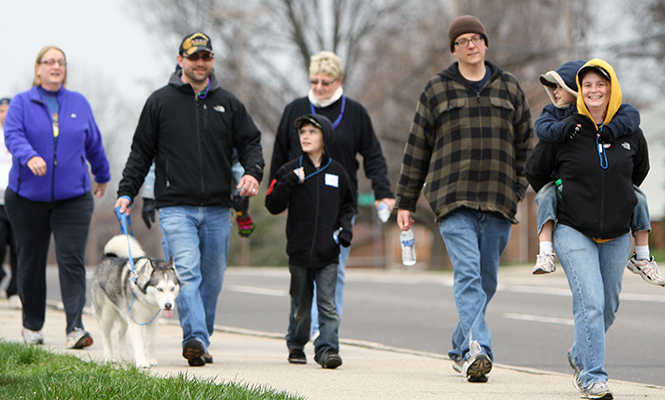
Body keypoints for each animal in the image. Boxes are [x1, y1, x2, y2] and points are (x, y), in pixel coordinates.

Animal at [91, 234, 180, 368]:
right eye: (160, 289)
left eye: (172, 289)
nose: (168, 305)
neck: (148, 300)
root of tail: (106, 257)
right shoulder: (136, 322)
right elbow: (139, 344)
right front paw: (142, 362)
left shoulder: (153, 322)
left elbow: (151, 342)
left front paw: (151, 360)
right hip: (106, 315)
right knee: (106, 336)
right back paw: (109, 358)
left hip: (124, 313)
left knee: (120, 332)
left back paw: (124, 356)